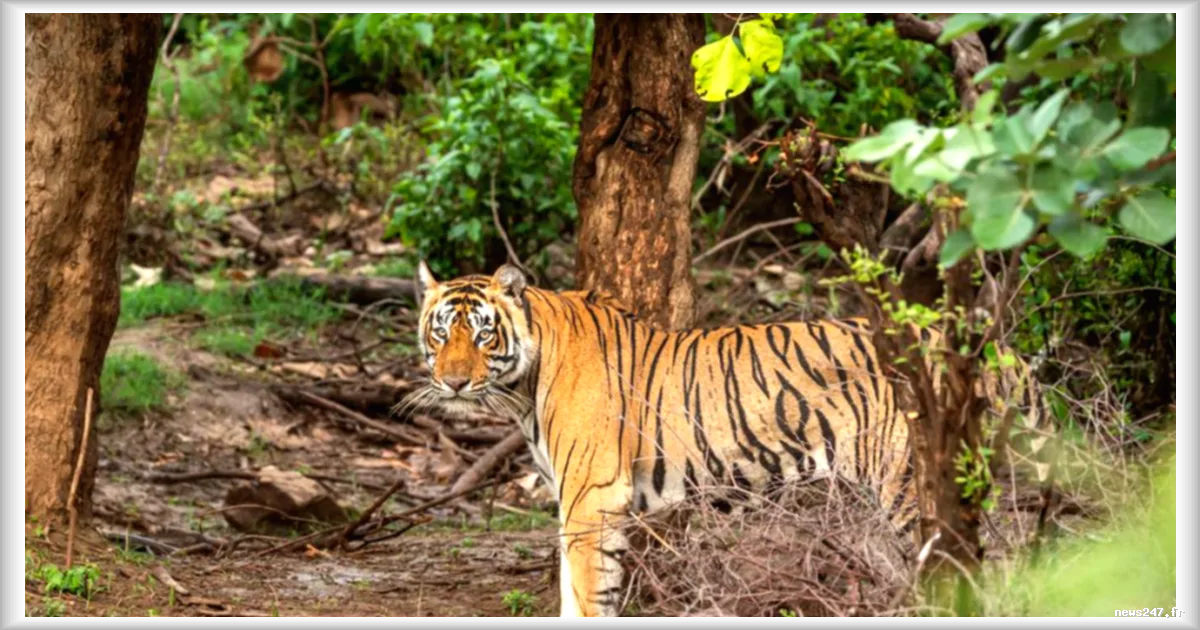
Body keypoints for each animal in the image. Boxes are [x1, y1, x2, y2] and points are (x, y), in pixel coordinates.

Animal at [404, 262, 1054, 617]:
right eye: (440, 333)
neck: (522, 386)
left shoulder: (592, 495)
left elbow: (585, 588)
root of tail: (979, 346)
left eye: (483, 335)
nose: (453, 381)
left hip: (910, 485)